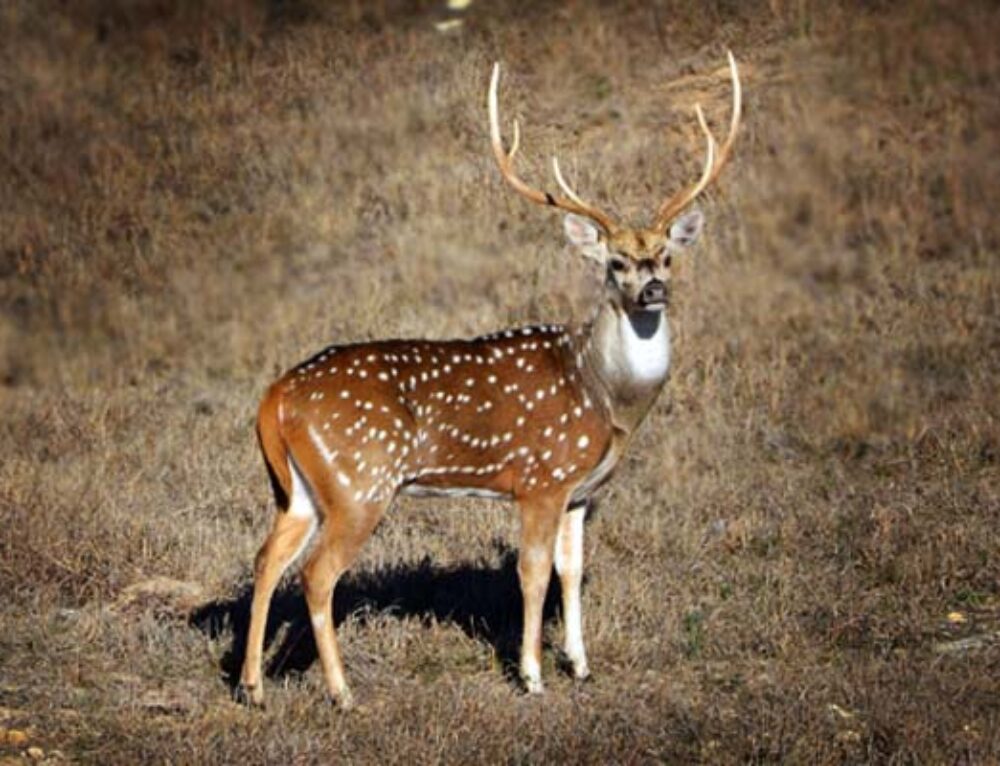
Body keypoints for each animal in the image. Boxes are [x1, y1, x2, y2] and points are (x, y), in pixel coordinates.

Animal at [237, 53, 741, 707]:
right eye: (616, 263)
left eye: (666, 255)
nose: (653, 288)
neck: (605, 395)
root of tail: (274, 398)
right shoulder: (541, 478)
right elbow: (531, 573)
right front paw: (531, 674)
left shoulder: (580, 492)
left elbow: (571, 569)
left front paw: (580, 664)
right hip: (359, 482)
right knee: (316, 574)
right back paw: (343, 693)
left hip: (297, 489)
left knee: (266, 558)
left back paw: (252, 686)